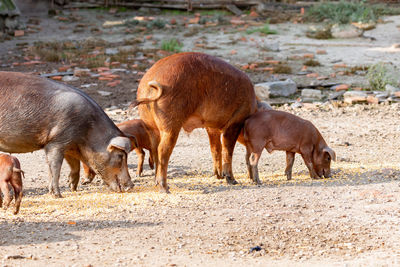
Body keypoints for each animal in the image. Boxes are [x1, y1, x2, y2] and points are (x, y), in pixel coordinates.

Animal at [0, 72, 136, 198]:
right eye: (120, 156)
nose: (131, 186)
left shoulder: (70, 146)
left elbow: (75, 165)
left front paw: (72, 187)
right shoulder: (56, 141)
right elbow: (55, 168)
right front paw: (58, 195)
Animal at [131, 51, 256, 193]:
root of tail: (151, 82)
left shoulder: (211, 127)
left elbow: (215, 149)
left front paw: (218, 176)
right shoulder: (235, 122)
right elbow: (227, 149)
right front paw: (233, 181)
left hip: (150, 124)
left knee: (154, 149)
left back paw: (157, 184)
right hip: (171, 123)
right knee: (162, 151)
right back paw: (165, 188)